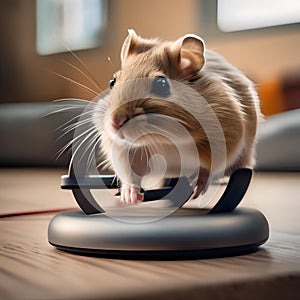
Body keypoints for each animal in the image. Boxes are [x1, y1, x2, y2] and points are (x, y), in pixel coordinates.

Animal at [92, 29, 262, 204]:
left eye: (161, 84)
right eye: (112, 82)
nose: (115, 123)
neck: (164, 140)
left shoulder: (224, 141)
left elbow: (208, 170)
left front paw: (196, 191)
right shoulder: (122, 151)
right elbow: (130, 176)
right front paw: (130, 198)